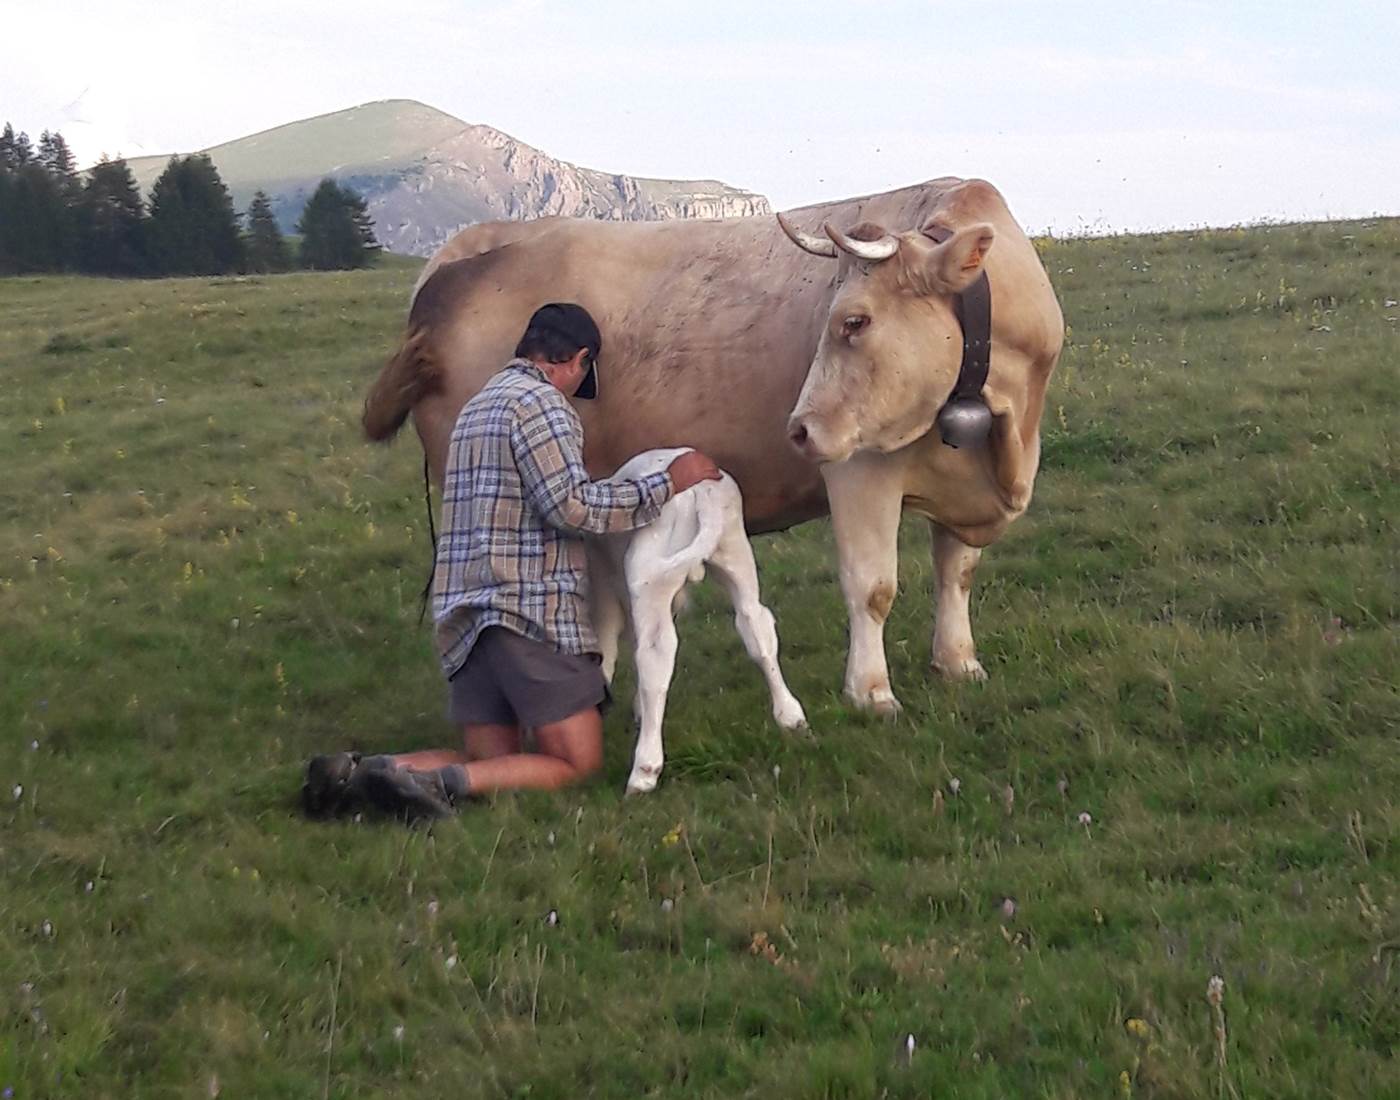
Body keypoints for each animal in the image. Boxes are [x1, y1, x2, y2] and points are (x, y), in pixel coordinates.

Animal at [363, 177, 1064, 716]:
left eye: (855, 320)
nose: (799, 430)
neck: (1002, 420)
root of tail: (455, 260)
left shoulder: (967, 482)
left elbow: (957, 572)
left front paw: (959, 663)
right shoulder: (859, 469)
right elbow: (873, 586)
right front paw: (871, 693)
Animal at [588, 448, 807, 794]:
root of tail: (700, 492)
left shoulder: (604, 596)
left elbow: (606, 655)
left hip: (649, 580)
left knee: (655, 656)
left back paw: (644, 771)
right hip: (734, 553)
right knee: (756, 625)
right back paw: (790, 715)